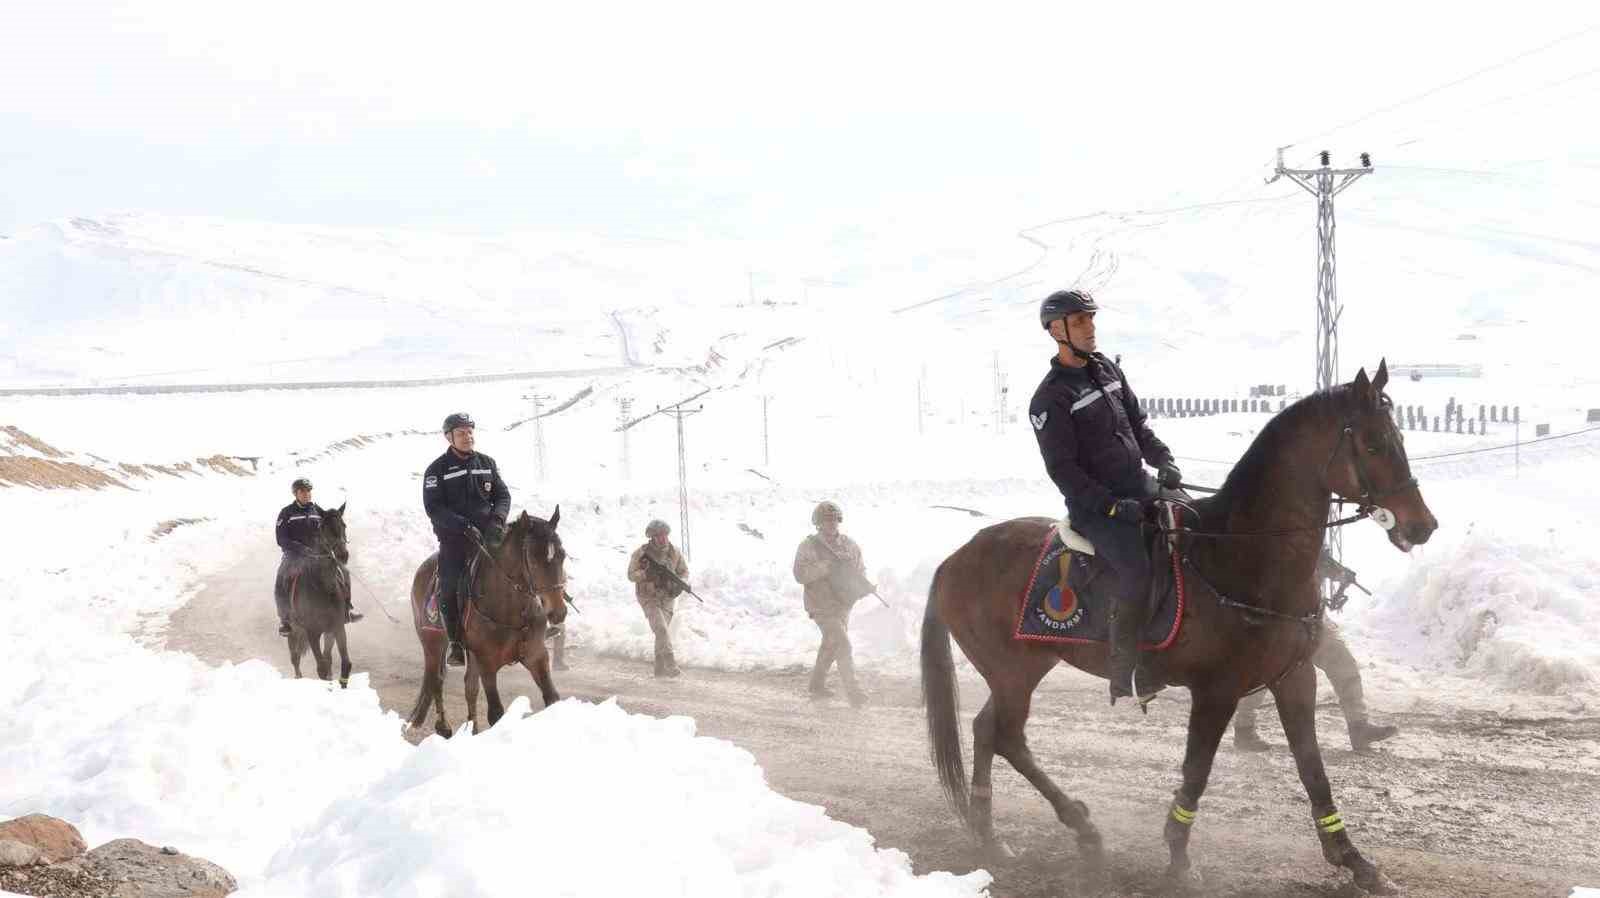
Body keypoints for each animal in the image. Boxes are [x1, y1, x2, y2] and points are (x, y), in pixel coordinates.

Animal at [284, 496, 353, 685]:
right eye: (324, 529)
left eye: (344, 525)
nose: (343, 555)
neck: (323, 587)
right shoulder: (312, 632)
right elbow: (321, 667)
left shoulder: (336, 627)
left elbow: (344, 664)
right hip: (294, 630)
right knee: (295, 657)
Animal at [406, 509, 569, 739]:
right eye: (534, 560)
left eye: (562, 556)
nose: (559, 611)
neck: (511, 608)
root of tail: (422, 570)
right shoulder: (487, 663)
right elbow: (496, 713)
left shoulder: (537, 656)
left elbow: (552, 698)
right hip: (433, 643)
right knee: (436, 679)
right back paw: (443, 726)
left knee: (469, 687)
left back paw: (471, 729)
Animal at [928, 360, 1440, 889]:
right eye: (1374, 443)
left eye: (1399, 436)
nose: (1422, 525)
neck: (1243, 555)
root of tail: (955, 558)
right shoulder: (1217, 690)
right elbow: (1197, 770)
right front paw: (1178, 856)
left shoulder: (1295, 677)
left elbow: (1312, 769)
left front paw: (1353, 859)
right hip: (1014, 672)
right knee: (1006, 736)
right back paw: (1071, 825)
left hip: (1022, 670)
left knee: (987, 730)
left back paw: (992, 831)